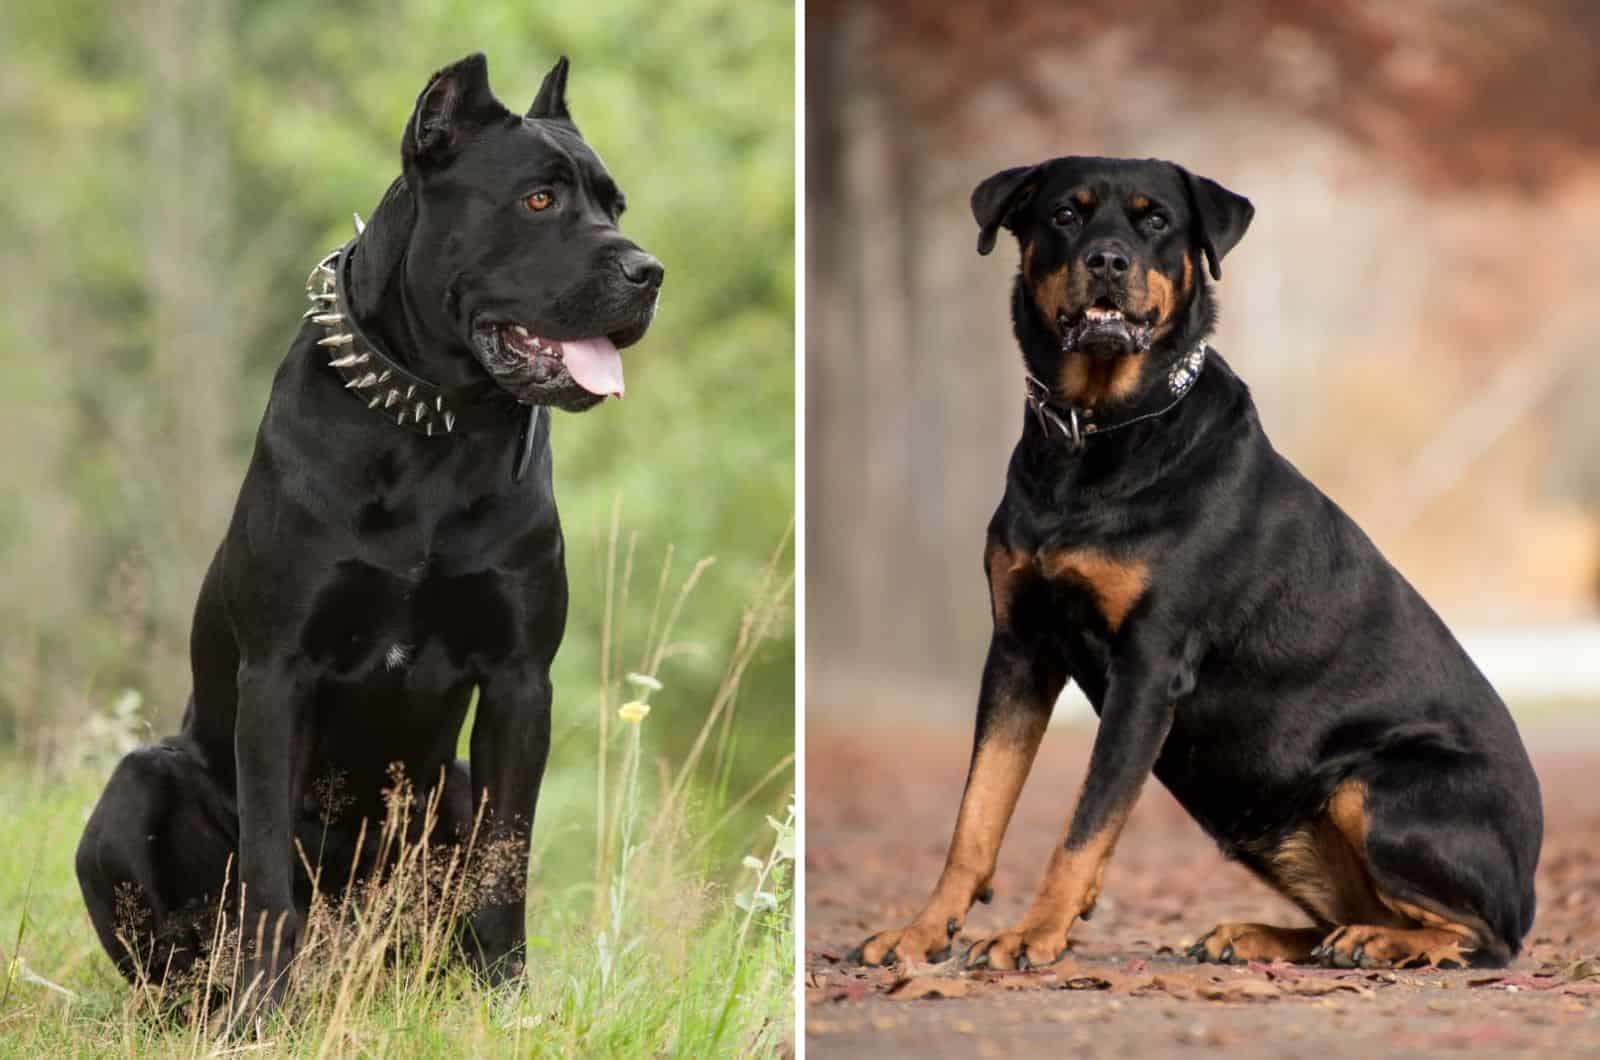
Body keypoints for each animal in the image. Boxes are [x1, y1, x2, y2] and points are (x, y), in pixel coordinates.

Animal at [73, 49, 662, 999]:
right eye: (538, 200)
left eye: (616, 206)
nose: (648, 271)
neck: (434, 426)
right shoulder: (278, 674)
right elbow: (267, 870)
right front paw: (260, 1011)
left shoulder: (519, 679)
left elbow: (506, 860)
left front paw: (504, 1000)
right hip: (137, 783)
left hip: (449, 780)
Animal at [844, 156, 1542, 973]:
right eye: (1064, 214)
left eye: (1156, 221)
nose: (1107, 261)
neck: (1096, 434)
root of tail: (1528, 879)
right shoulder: (1018, 646)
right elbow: (977, 815)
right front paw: (921, 932)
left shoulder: (1149, 667)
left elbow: (1084, 825)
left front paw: (1031, 934)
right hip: (1286, 826)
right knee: (1361, 914)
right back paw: (1264, 935)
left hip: (1374, 788)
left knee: (1484, 938)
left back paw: (1381, 942)